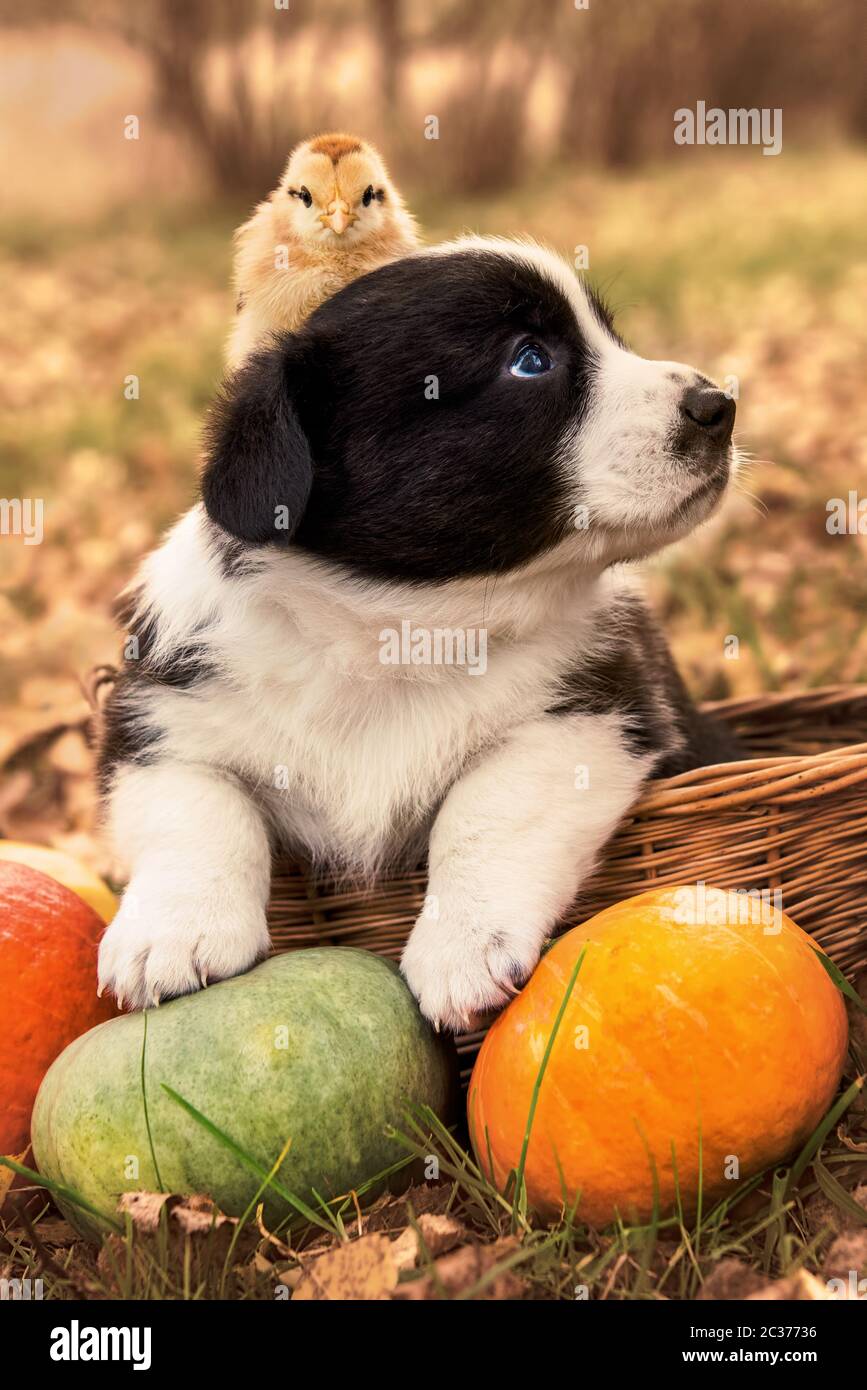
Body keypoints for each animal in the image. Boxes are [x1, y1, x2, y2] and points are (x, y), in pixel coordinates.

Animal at [100, 233, 739, 1028]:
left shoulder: (595, 712)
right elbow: (194, 809)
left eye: (612, 337)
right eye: (530, 359)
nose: (720, 405)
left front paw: (462, 948)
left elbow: (486, 805)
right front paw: (169, 936)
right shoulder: (157, 721)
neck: (398, 629)